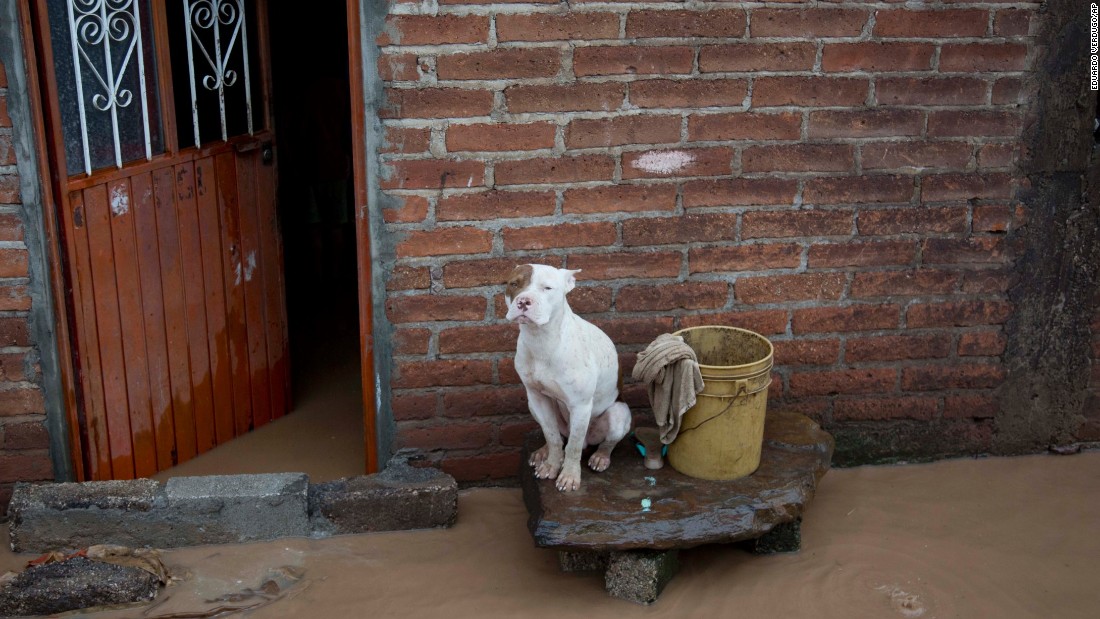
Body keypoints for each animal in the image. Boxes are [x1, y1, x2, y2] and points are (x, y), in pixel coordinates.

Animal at [503, 263, 633, 492]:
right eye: (514, 284)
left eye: (547, 288)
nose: (524, 301)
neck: (541, 339)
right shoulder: (537, 398)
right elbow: (552, 436)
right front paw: (551, 465)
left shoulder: (580, 406)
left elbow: (573, 447)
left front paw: (570, 477)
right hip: (533, 405)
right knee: (558, 435)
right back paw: (543, 452)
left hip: (618, 414)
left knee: (605, 442)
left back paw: (601, 457)